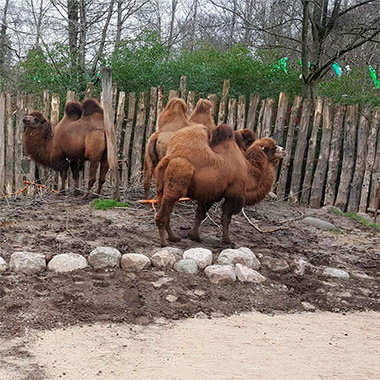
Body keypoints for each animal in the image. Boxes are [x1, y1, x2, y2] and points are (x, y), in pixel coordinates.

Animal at [154, 124, 284, 246]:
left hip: (162, 188)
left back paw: (173, 238)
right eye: (274, 147)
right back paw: (164, 242)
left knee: (166, 212)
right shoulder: (234, 195)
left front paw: (194, 236)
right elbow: (225, 218)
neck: (249, 173)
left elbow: (200, 214)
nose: (283, 150)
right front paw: (227, 241)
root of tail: (169, 158)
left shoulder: (210, 194)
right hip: (179, 176)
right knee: (163, 214)